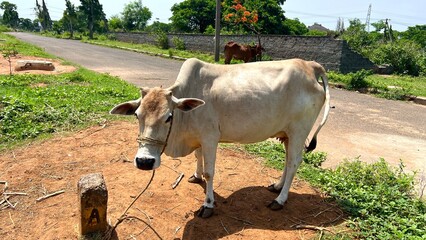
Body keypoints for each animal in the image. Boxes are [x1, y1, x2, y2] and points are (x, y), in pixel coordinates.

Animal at [110, 57, 330, 218]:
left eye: (169, 117)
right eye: (137, 115)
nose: (144, 161)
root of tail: (310, 66)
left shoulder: (210, 138)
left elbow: (210, 173)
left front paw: (208, 205)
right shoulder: (199, 138)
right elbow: (198, 157)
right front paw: (196, 175)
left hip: (299, 131)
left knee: (293, 162)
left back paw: (280, 200)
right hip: (286, 134)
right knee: (287, 160)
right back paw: (277, 186)